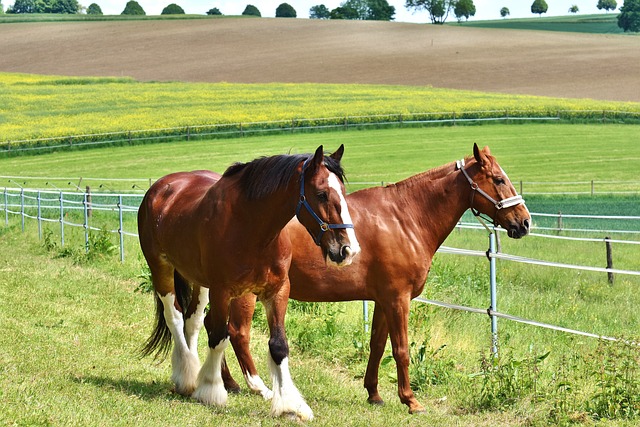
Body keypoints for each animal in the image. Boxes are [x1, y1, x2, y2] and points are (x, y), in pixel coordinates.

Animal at [138, 145, 360, 422]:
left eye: (343, 192)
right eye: (321, 194)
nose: (348, 250)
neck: (252, 227)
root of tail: (160, 188)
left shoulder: (277, 291)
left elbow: (278, 346)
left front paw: (290, 405)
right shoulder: (222, 291)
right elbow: (219, 337)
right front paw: (211, 390)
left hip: (200, 283)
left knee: (193, 321)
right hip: (162, 270)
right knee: (175, 318)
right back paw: (187, 377)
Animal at [209, 144, 528, 414]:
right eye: (499, 180)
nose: (524, 222)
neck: (403, 218)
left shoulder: (383, 299)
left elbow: (377, 345)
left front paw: (374, 394)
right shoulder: (398, 299)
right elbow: (401, 350)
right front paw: (411, 401)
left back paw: (228, 383)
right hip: (245, 294)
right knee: (237, 333)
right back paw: (252, 387)